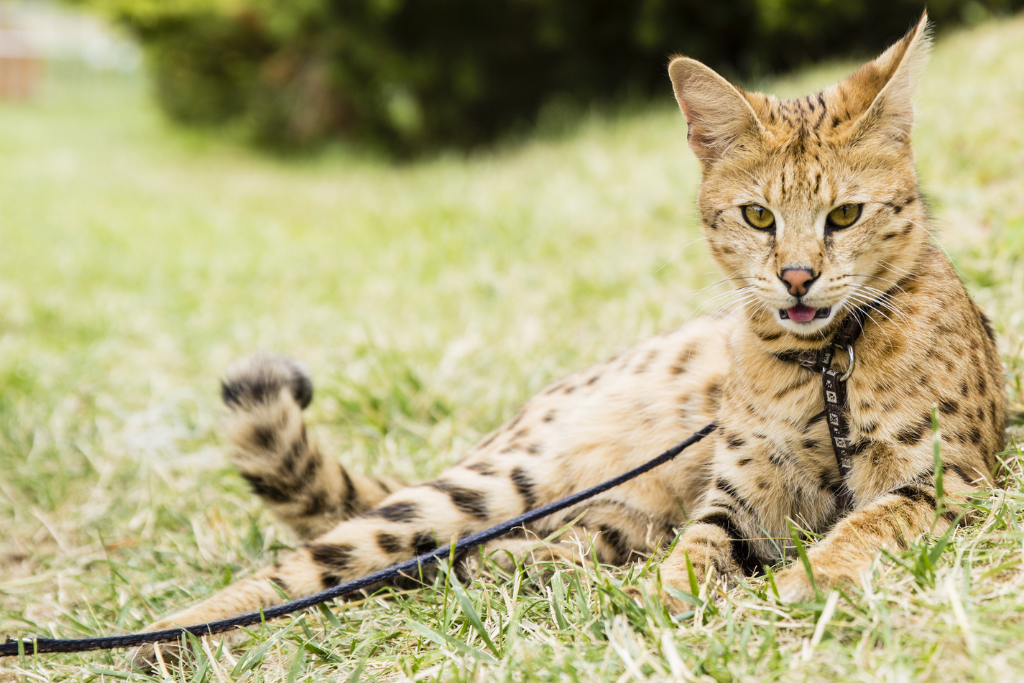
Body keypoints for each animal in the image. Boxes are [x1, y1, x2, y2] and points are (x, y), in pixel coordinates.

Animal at [132, 10, 1003, 663]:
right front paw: (674, 602)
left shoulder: (949, 478)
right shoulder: (741, 496)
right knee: (312, 567)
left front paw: (794, 588)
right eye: (758, 215)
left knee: (502, 552)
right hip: (497, 481)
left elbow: (861, 526)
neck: (825, 361)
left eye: (845, 215)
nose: (796, 277)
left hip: (609, 508)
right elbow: (700, 551)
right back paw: (163, 636)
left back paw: (527, 565)